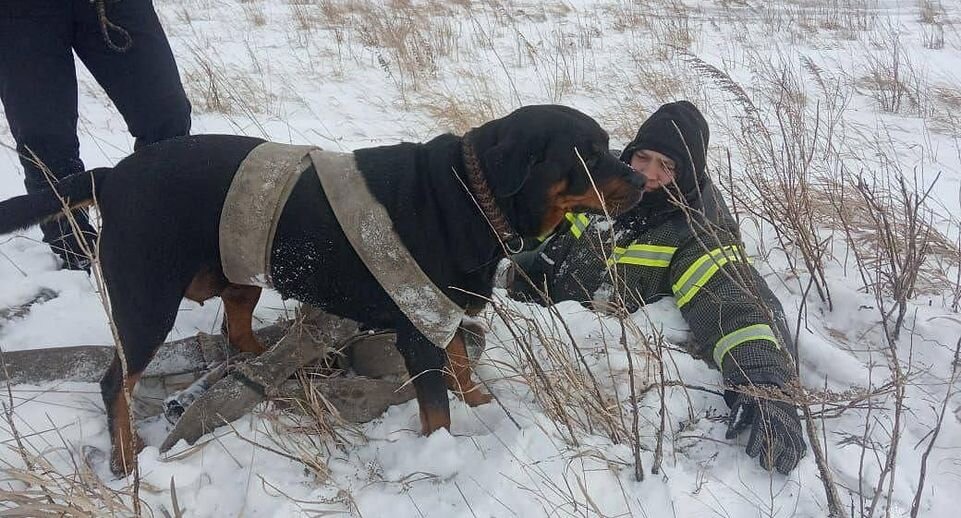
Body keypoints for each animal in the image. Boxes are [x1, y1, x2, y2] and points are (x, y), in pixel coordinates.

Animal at [1, 103, 644, 478]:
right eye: (588, 152)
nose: (642, 178)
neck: (468, 195)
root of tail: (112, 176)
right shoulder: (418, 328)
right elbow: (436, 405)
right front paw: (445, 454)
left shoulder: (441, 310)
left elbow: (463, 365)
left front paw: (485, 406)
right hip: (145, 300)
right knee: (117, 382)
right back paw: (125, 454)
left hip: (240, 268)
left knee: (237, 327)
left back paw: (269, 374)